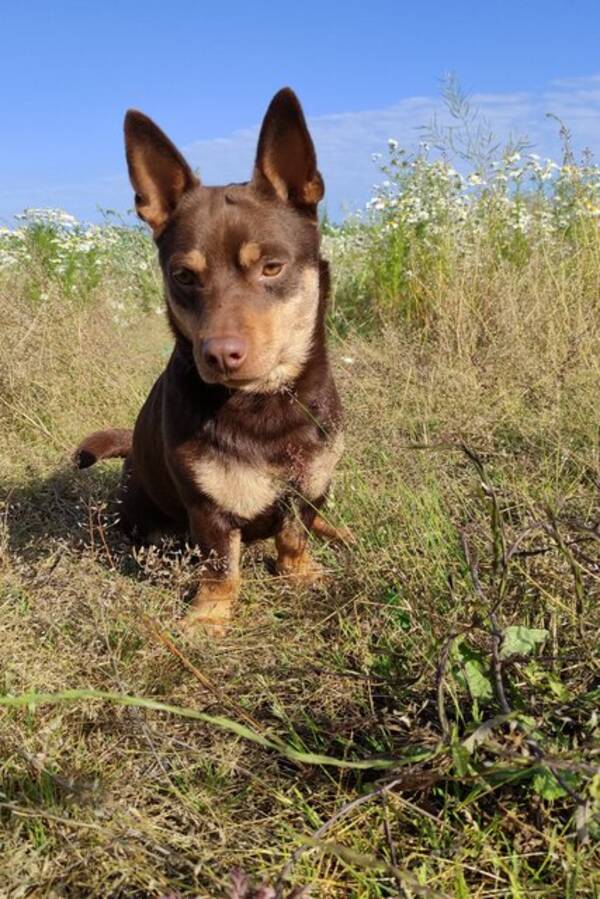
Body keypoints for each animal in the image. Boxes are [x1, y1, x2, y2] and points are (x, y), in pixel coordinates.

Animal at [74, 84, 344, 632]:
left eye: (271, 267)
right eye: (184, 276)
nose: (219, 355)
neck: (264, 405)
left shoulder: (307, 489)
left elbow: (294, 537)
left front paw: (301, 574)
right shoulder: (208, 509)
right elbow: (222, 566)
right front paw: (209, 617)